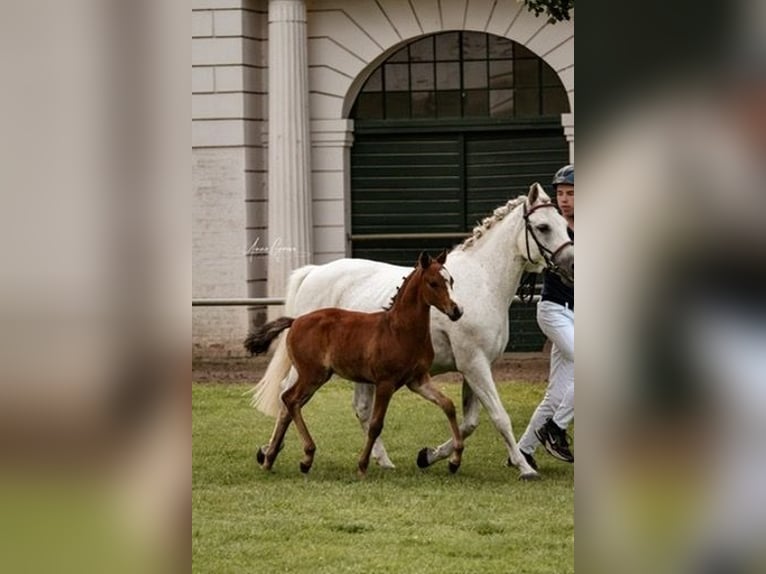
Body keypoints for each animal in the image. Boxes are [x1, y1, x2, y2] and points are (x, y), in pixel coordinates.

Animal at [244, 252, 462, 476]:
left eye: (451, 280)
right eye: (433, 283)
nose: (456, 310)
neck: (399, 329)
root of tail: (295, 320)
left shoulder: (418, 380)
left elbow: (448, 405)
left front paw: (455, 460)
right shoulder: (385, 383)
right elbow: (375, 425)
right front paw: (362, 466)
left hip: (316, 376)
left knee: (289, 402)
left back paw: (271, 459)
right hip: (312, 375)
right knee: (290, 399)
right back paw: (305, 457)